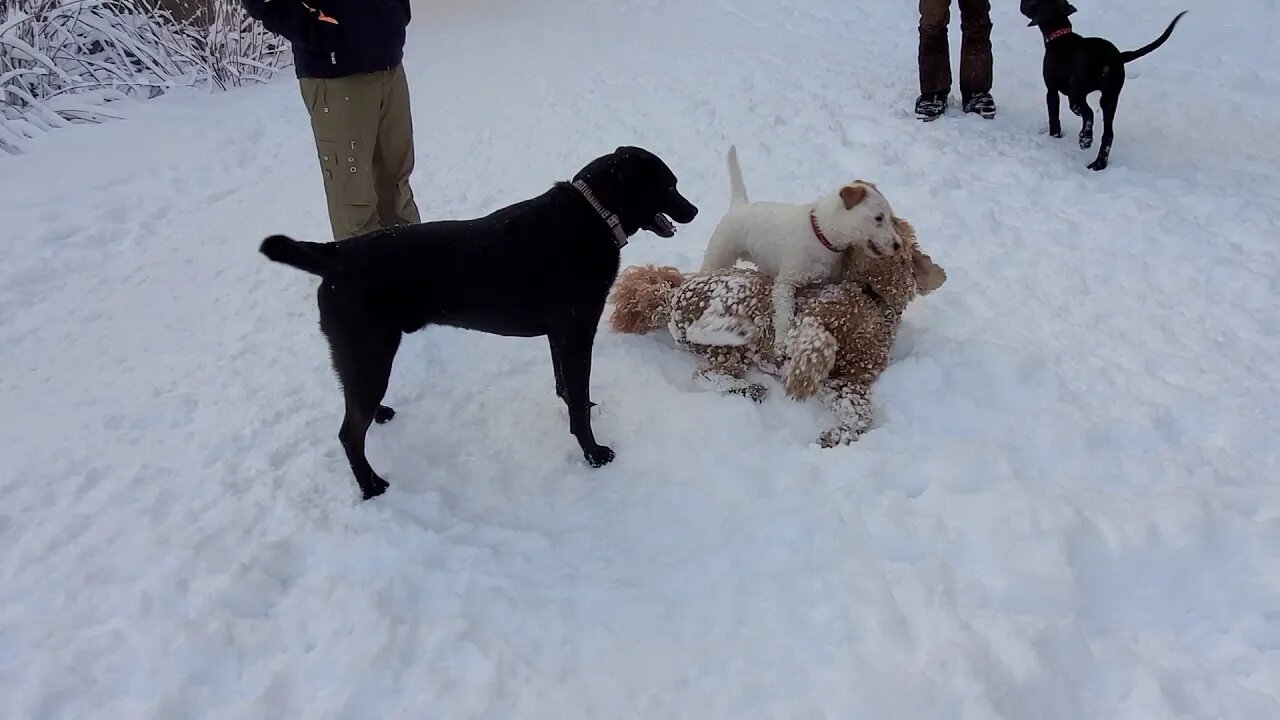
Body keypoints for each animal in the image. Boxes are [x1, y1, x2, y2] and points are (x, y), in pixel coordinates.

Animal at [262, 147, 701, 499]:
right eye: (668, 185)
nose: (694, 210)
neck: (593, 214)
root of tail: (335, 254)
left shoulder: (560, 335)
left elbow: (566, 386)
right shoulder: (577, 331)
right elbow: (578, 401)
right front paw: (592, 453)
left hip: (362, 359)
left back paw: (381, 415)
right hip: (369, 353)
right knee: (348, 433)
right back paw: (371, 487)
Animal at [701, 144, 901, 348]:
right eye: (878, 218)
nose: (898, 245)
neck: (822, 233)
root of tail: (739, 205)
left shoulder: (829, 279)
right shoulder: (785, 284)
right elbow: (784, 315)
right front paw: (782, 341)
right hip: (719, 255)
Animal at [1018, 0, 1187, 170]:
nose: (1021, 3)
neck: (1060, 34)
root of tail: (1112, 57)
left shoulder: (1051, 91)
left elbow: (1054, 117)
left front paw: (1054, 136)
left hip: (1076, 95)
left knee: (1089, 114)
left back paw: (1085, 139)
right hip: (1110, 98)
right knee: (1108, 134)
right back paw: (1099, 164)